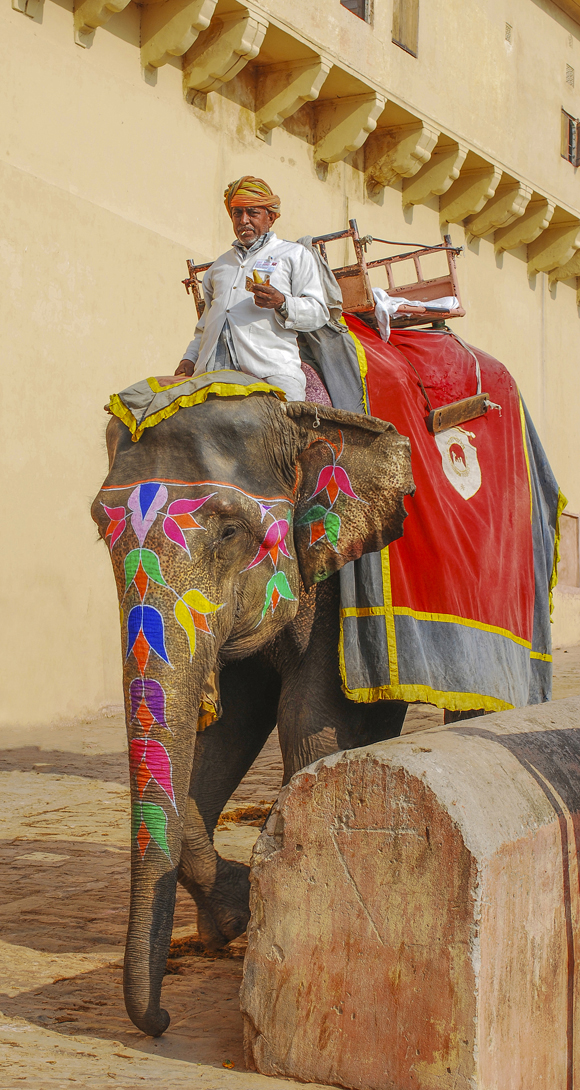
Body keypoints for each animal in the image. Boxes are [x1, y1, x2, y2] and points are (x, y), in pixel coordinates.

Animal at [91, 388, 414, 1038]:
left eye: (230, 531)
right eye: (98, 531)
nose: (161, 1019)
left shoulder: (335, 572)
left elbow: (309, 719)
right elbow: (231, 722)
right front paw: (237, 914)